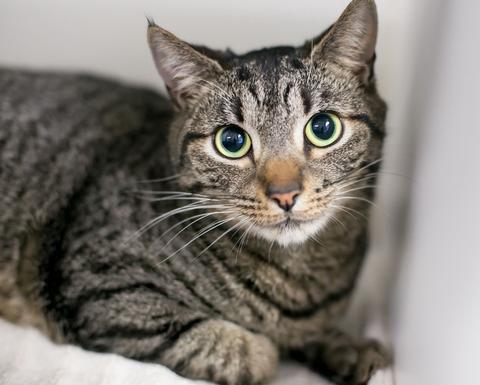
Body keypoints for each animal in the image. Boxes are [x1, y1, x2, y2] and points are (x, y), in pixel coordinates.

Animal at [0, 0, 390, 382]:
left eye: (323, 128)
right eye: (231, 141)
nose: (285, 194)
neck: (298, 278)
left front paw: (348, 349)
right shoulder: (103, 288)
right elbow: (242, 350)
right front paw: (271, 347)